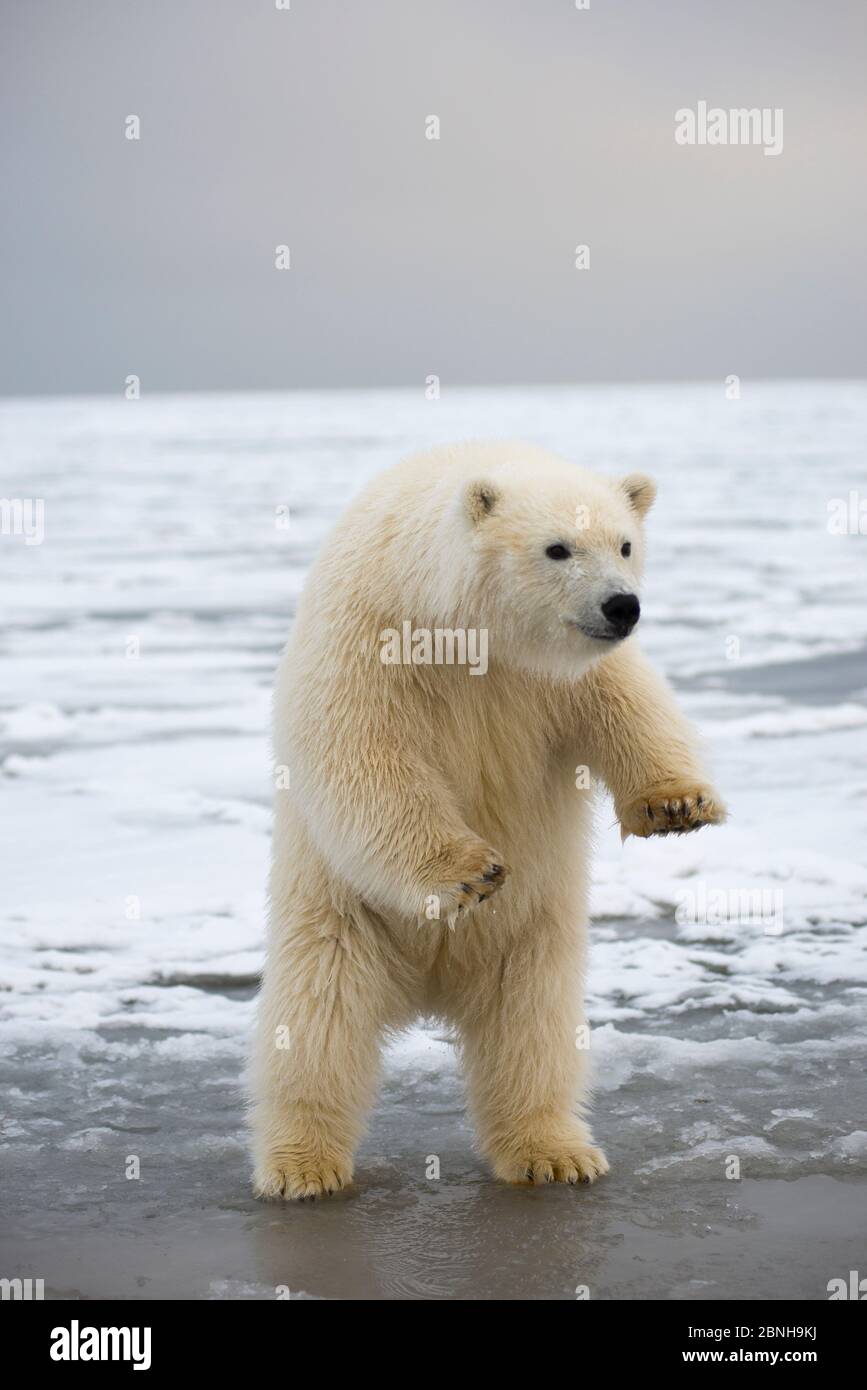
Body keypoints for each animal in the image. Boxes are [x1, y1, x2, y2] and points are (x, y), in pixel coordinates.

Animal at [248, 442, 722, 1195]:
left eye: (624, 543)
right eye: (557, 548)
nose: (621, 605)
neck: (467, 630)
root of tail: (431, 986)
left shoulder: (561, 674)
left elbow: (627, 700)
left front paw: (677, 805)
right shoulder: (374, 635)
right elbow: (361, 751)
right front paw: (469, 873)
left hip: (532, 934)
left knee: (532, 1029)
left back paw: (553, 1151)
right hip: (339, 913)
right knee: (319, 1021)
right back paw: (303, 1164)